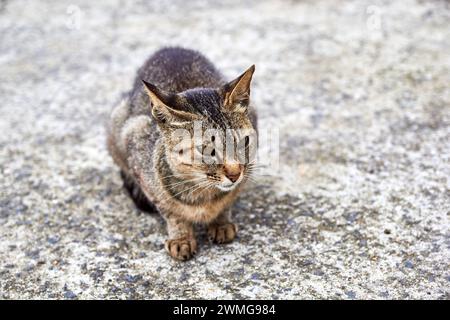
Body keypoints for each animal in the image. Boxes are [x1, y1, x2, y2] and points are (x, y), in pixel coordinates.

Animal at [106, 48, 256, 262]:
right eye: (207, 150)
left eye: (244, 142)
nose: (235, 174)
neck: (202, 193)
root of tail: (170, 49)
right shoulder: (136, 143)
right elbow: (171, 212)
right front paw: (181, 238)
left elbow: (228, 200)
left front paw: (221, 222)